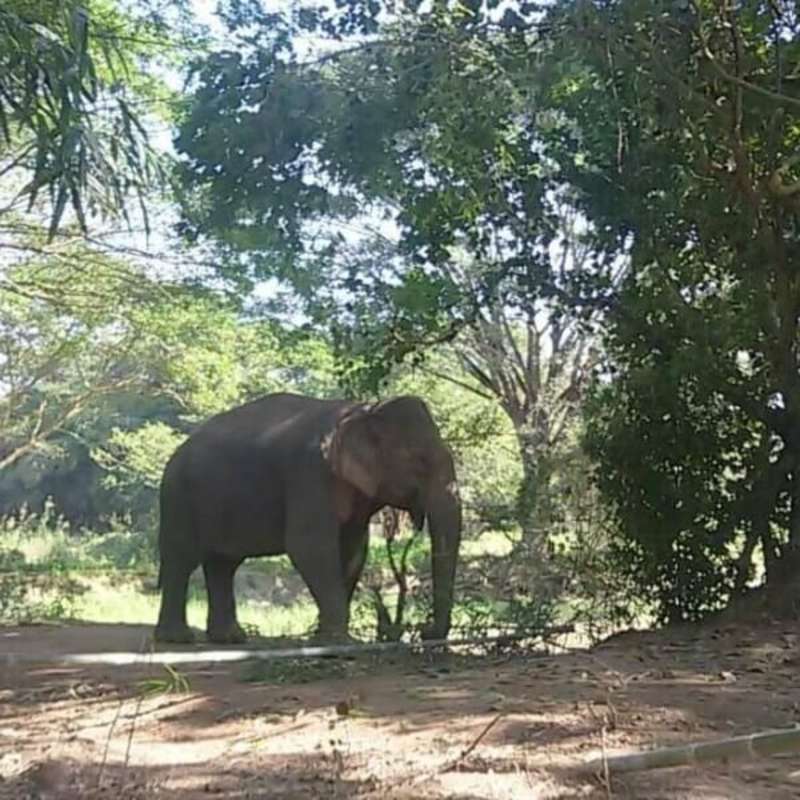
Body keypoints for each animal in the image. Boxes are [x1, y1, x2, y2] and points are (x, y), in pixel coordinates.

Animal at [154, 392, 462, 644]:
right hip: (177, 496)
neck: (364, 408)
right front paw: (338, 641)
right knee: (181, 559)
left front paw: (326, 637)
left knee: (222, 564)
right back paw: (178, 639)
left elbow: (353, 550)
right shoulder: (309, 472)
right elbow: (310, 546)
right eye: (419, 462)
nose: (425, 631)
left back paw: (230, 638)